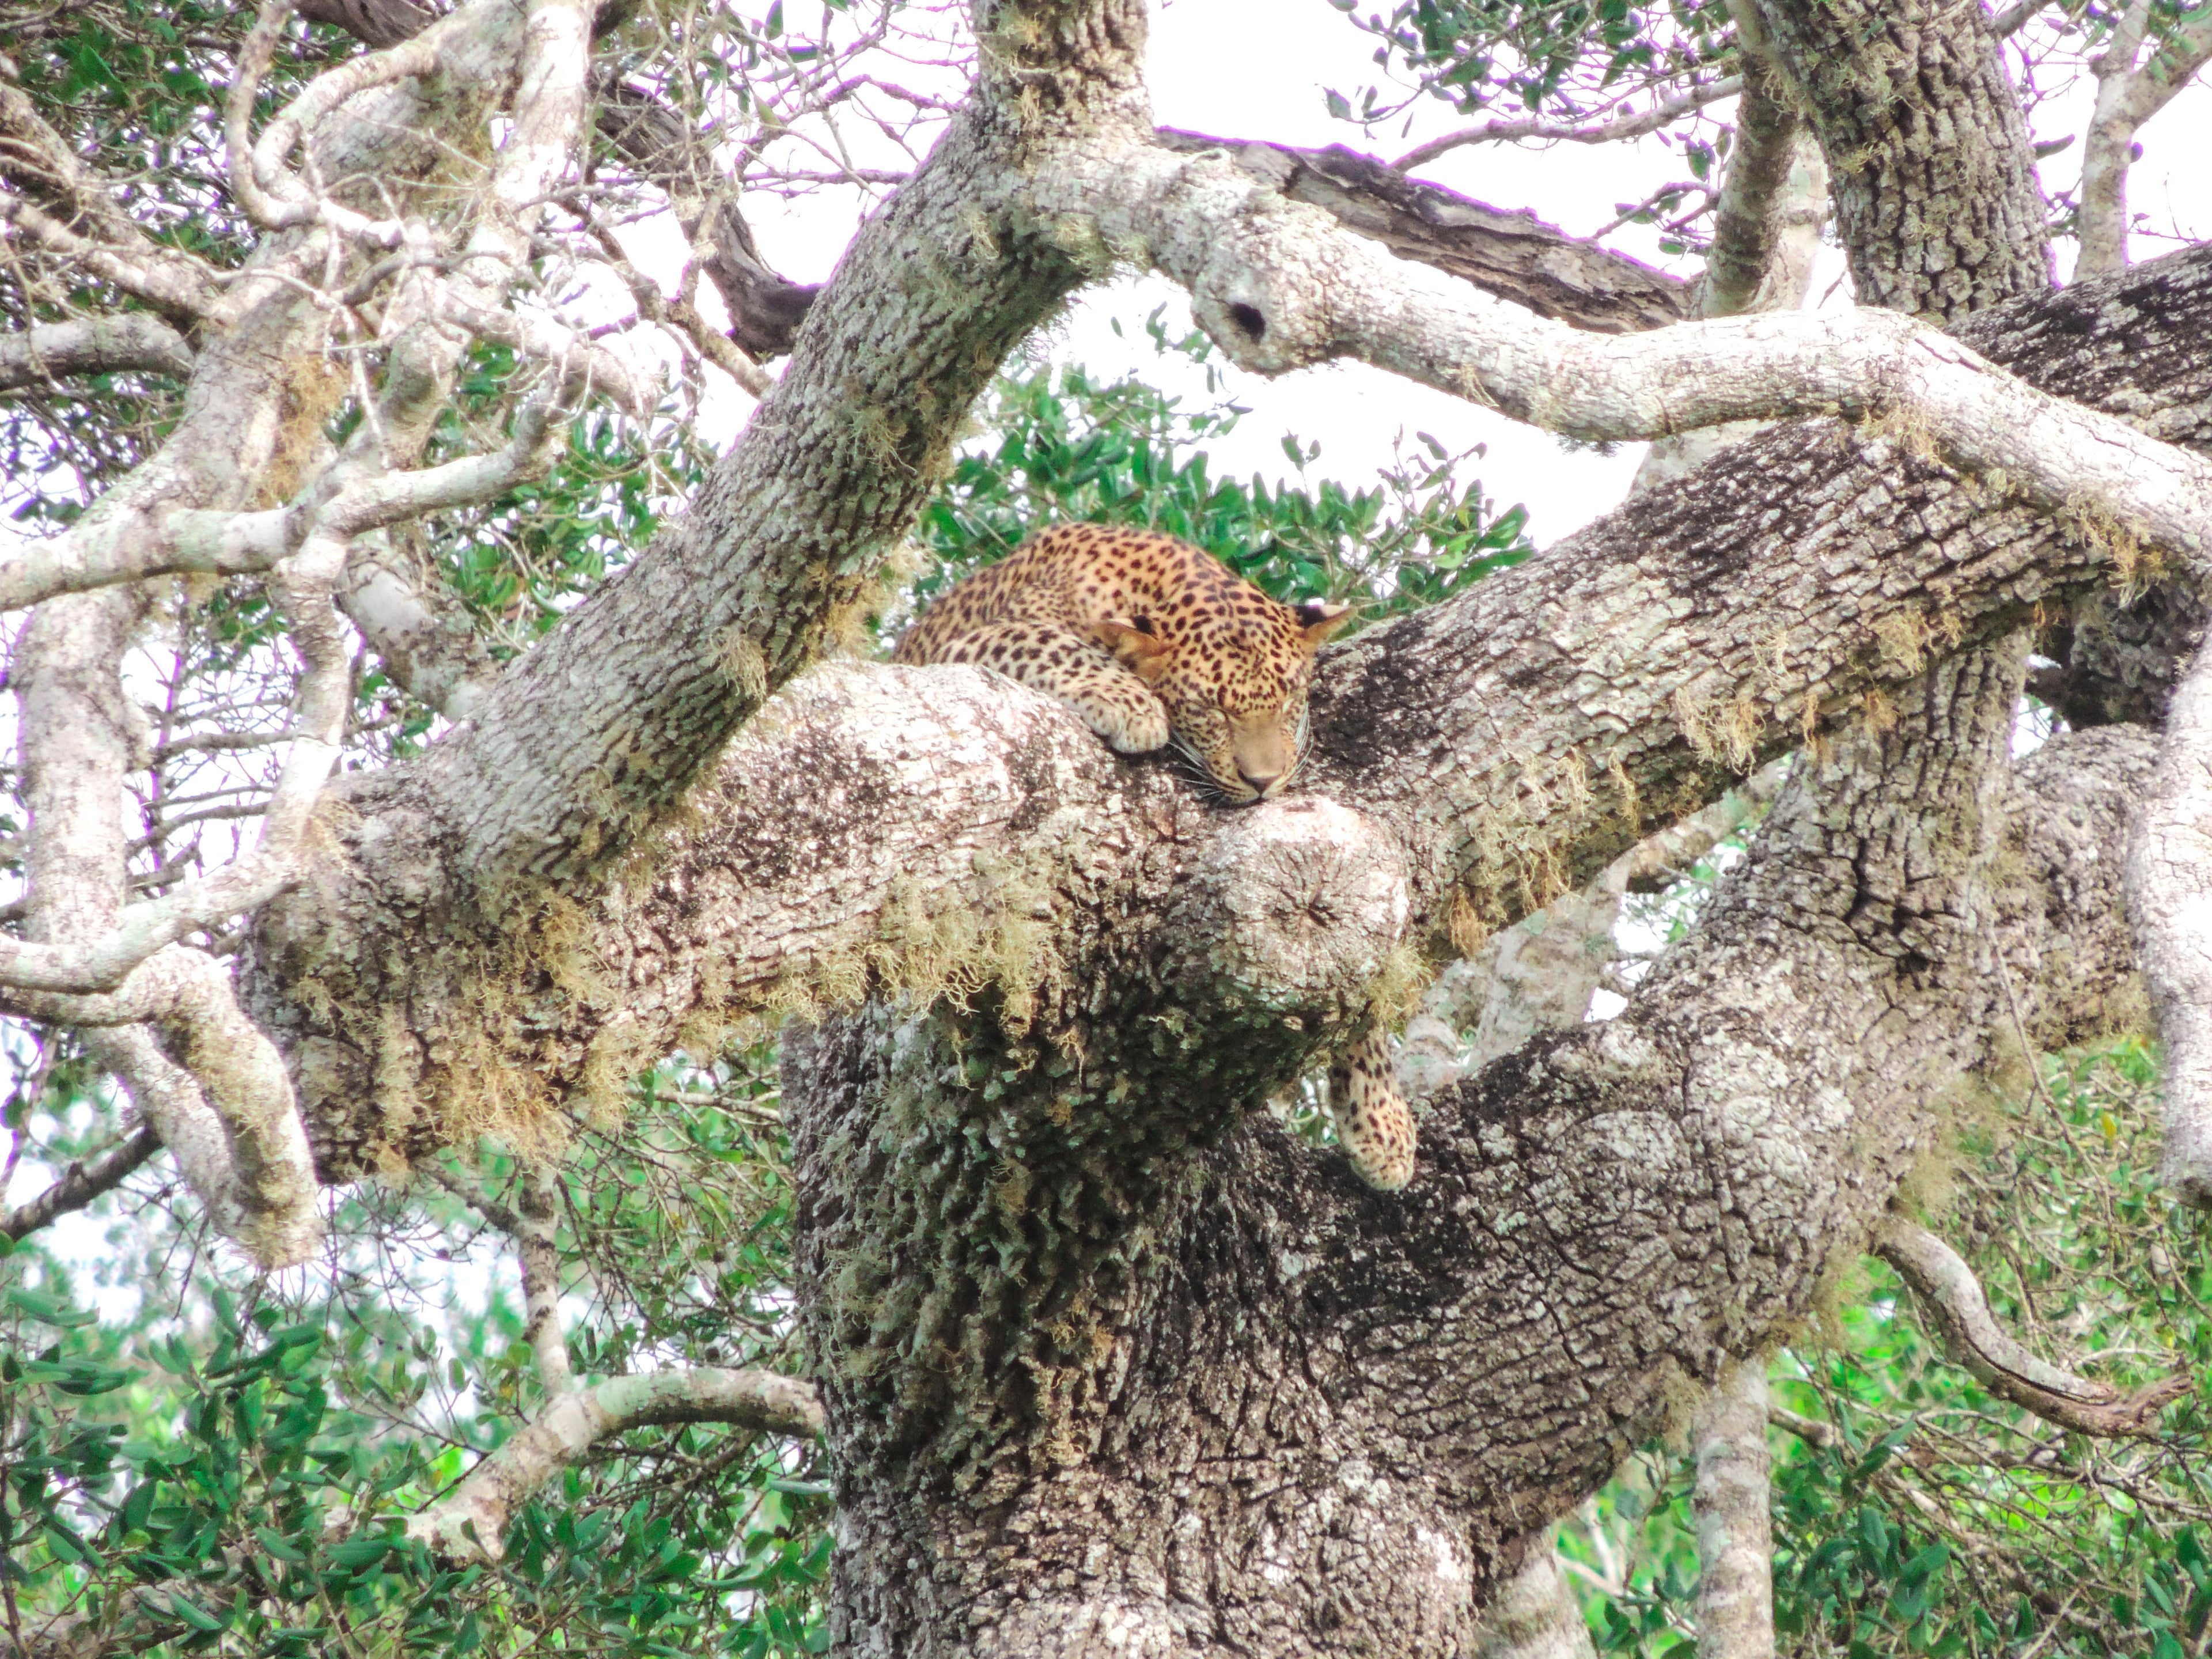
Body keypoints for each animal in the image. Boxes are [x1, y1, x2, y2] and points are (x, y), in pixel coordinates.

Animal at [893, 522, 1419, 1191]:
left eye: (1289, 703)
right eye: (1212, 710)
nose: (1264, 783)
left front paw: (1384, 1122)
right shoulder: (971, 642)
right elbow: (1043, 639)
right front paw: (1132, 702)